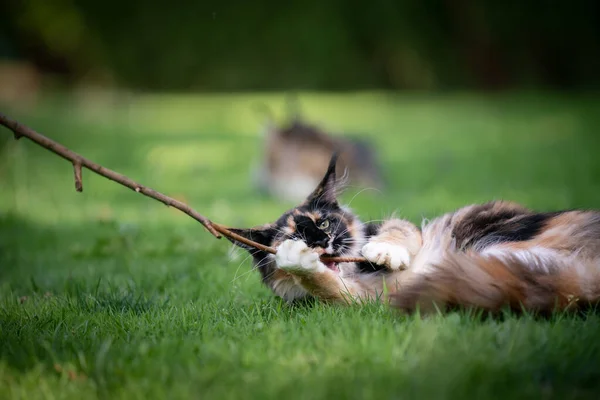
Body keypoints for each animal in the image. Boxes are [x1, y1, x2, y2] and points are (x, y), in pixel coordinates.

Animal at [229, 153, 600, 312]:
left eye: (322, 223)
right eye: (295, 236)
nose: (321, 242)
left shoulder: (400, 230)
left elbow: (397, 232)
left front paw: (384, 252)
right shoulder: (366, 300)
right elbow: (326, 284)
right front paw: (298, 260)